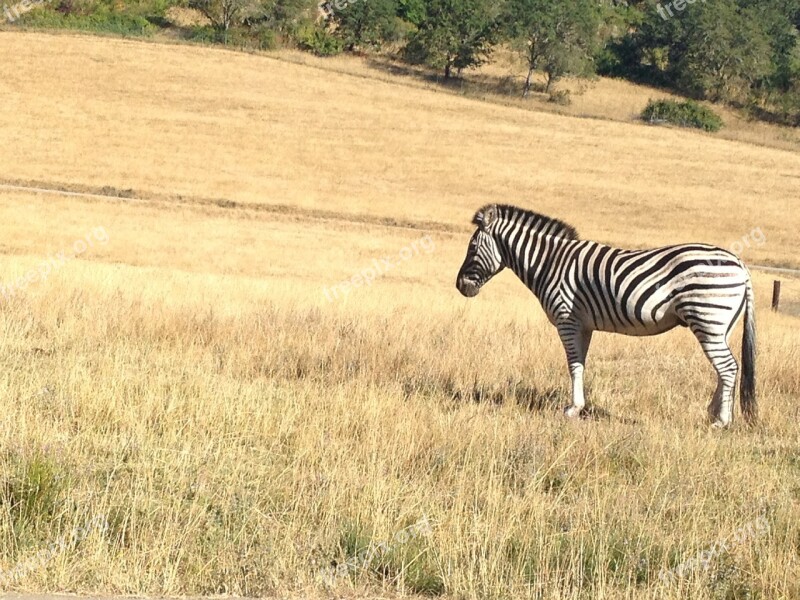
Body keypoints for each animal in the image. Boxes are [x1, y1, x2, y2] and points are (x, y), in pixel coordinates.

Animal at [456, 205, 756, 426]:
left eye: (472, 248)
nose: (460, 286)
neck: (550, 263)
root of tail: (740, 264)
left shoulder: (567, 320)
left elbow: (573, 365)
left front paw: (573, 409)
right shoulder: (584, 325)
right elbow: (581, 364)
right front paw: (579, 406)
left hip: (707, 318)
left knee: (728, 367)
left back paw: (721, 421)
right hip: (720, 325)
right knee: (724, 369)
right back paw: (712, 412)